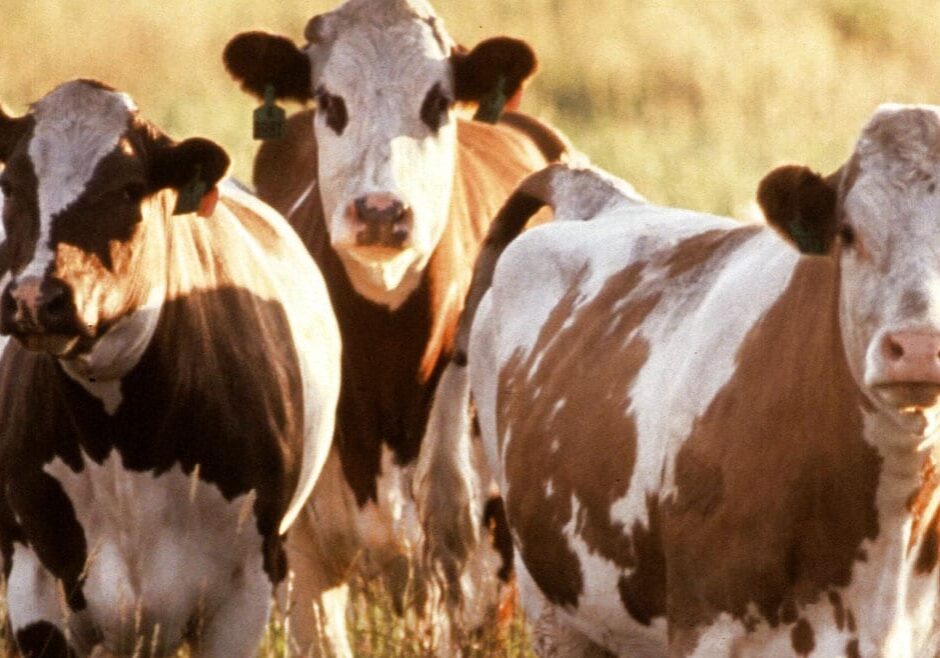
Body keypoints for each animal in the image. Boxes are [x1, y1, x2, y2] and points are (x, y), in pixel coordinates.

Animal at [0, 80, 341, 658]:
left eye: (129, 189)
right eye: (9, 183)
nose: (33, 298)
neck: (121, 442)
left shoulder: (245, 590)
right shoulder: (33, 583)